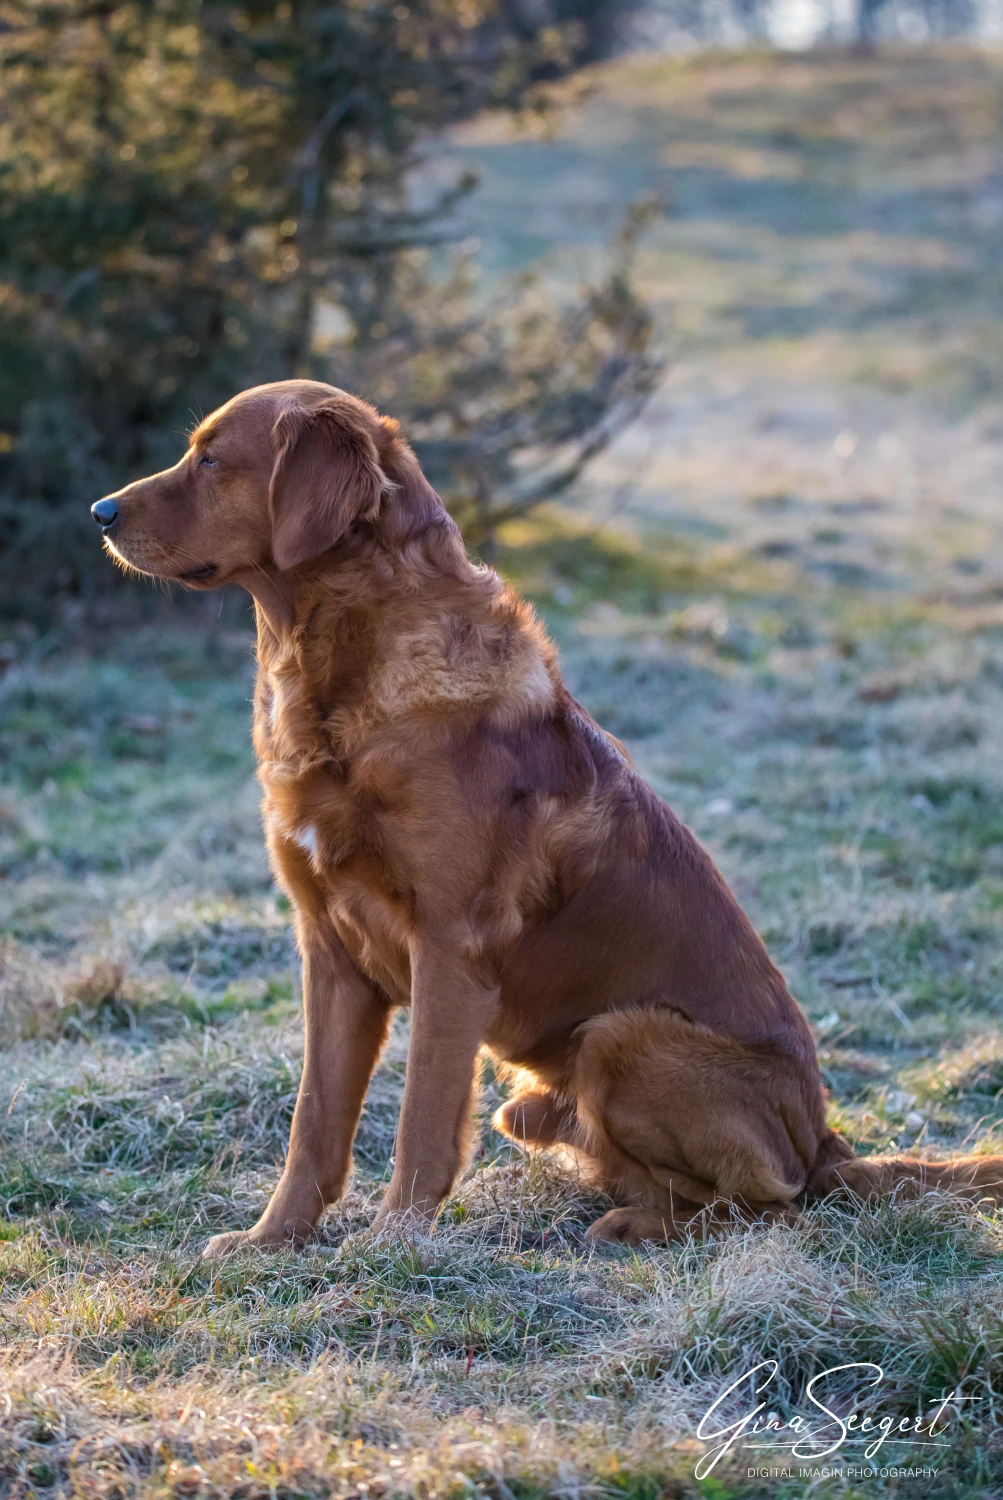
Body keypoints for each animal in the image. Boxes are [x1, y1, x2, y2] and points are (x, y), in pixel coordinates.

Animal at [91, 378, 1001, 1254]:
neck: (344, 671)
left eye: (213, 460)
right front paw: (271, 1240)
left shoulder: (449, 947)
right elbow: (313, 1122)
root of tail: (824, 1142)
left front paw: (391, 1246)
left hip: (620, 1038)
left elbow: (422, 1120)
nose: (99, 512)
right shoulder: (329, 950)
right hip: (531, 1100)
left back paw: (636, 1230)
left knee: (768, 1204)